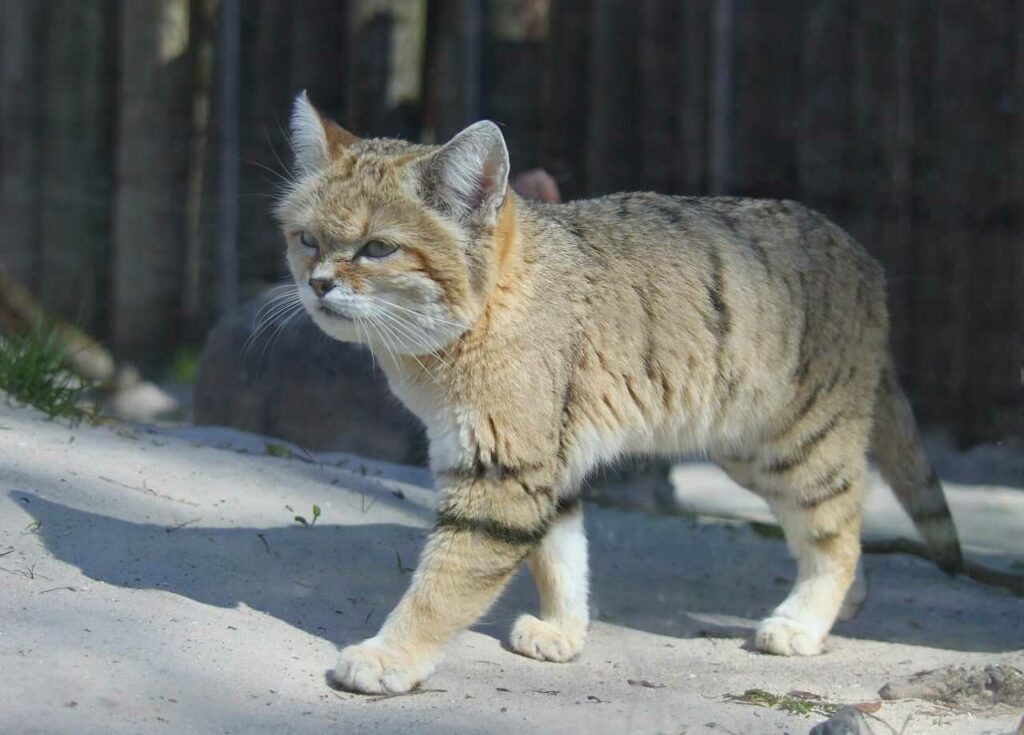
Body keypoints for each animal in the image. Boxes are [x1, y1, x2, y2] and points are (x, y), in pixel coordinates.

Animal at [278, 92, 958, 696]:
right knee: (844, 524)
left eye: (378, 248)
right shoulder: (548, 462)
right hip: (752, 452)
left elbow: (445, 581)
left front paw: (390, 655)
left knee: (839, 532)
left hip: (799, 446)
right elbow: (560, 555)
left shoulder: (501, 471)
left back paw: (803, 623)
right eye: (308, 240)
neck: (492, 306)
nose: (318, 284)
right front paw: (563, 629)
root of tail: (866, 262)